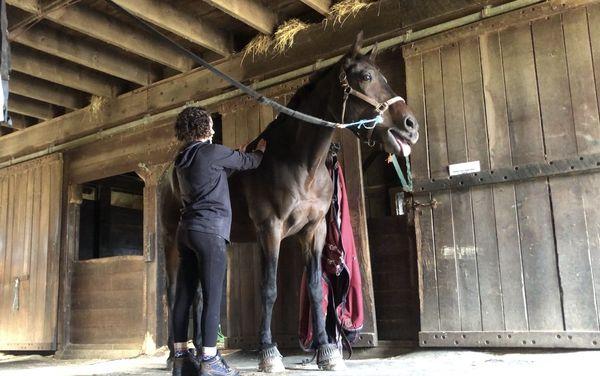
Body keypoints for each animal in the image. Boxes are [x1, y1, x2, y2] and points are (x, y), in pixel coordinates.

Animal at [162, 33, 420, 374]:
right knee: (173, 293)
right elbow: (269, 289)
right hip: (173, 244)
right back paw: (172, 355)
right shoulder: (270, 231)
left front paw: (326, 350)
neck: (300, 164)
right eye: (366, 76)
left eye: (385, 78)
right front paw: (269, 353)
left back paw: (195, 352)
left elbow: (315, 287)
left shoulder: (314, 231)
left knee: (200, 295)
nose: (411, 125)